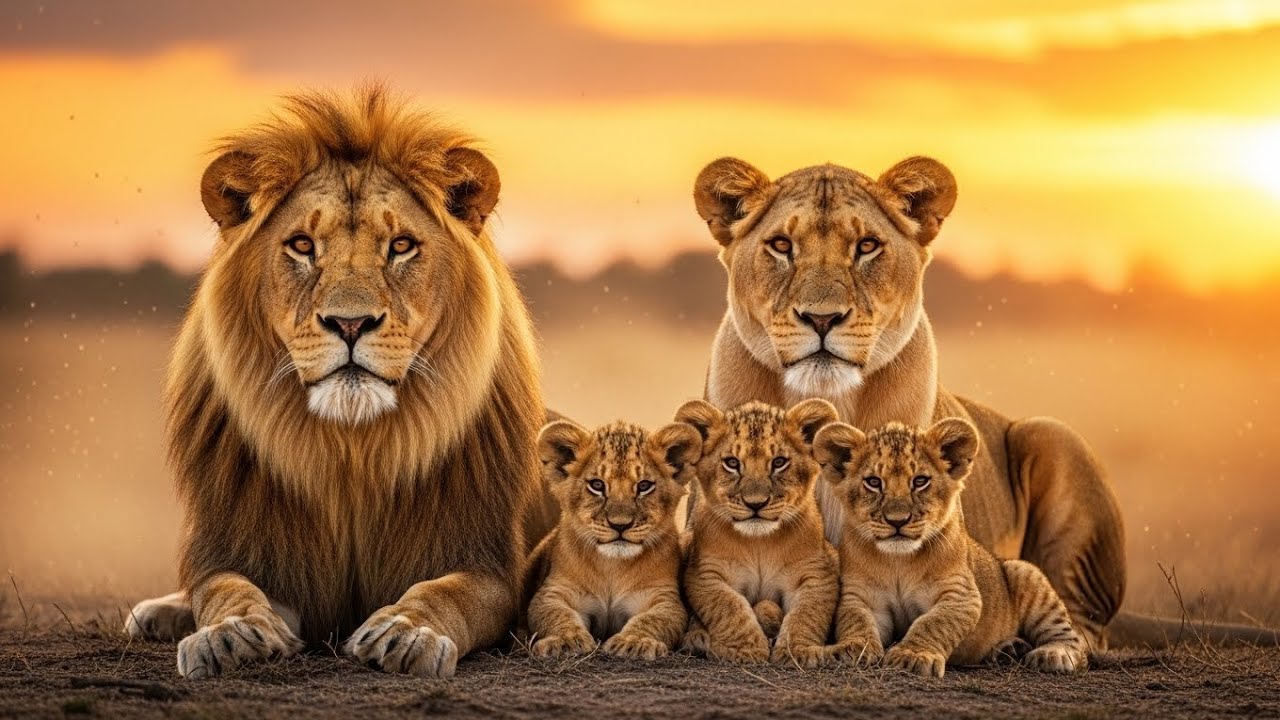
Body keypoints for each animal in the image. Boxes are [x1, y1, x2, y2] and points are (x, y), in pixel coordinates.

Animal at [122, 85, 553, 678]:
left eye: (401, 245)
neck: (350, 448)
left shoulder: (485, 563)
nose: (350, 323)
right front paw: (229, 635)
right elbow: (224, 588)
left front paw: (407, 632)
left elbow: (447, 593)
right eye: (303, 245)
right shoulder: (249, 552)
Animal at [525, 419, 700, 660]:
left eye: (644, 486)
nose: (620, 525)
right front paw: (566, 641)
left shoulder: (663, 597)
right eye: (597, 485)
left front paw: (635, 642)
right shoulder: (554, 592)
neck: (612, 567)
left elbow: (653, 619)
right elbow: (555, 615)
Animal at [675, 399, 839, 668]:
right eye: (732, 463)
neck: (759, 543)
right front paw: (746, 649)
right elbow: (728, 607)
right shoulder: (705, 572)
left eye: (779, 462)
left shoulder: (816, 573)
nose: (756, 503)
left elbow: (807, 613)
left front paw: (797, 651)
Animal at [814, 418, 1088, 677]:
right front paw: (852, 649)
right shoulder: (861, 596)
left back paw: (1053, 654)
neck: (899, 562)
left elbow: (933, 623)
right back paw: (1009, 650)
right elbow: (856, 620)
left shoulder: (961, 596)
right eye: (873, 482)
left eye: (920, 481)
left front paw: (913, 656)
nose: (897, 521)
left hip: (1027, 574)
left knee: (1071, 639)